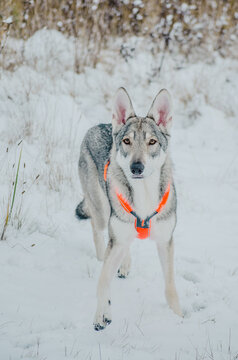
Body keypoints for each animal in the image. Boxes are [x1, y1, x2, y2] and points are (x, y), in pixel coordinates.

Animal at [76, 86, 182, 330]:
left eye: (152, 142)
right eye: (126, 141)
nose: (136, 167)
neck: (144, 196)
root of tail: (99, 125)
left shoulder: (166, 241)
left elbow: (170, 286)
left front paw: (179, 316)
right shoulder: (116, 238)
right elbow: (102, 281)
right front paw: (101, 314)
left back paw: (124, 265)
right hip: (103, 212)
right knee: (98, 231)